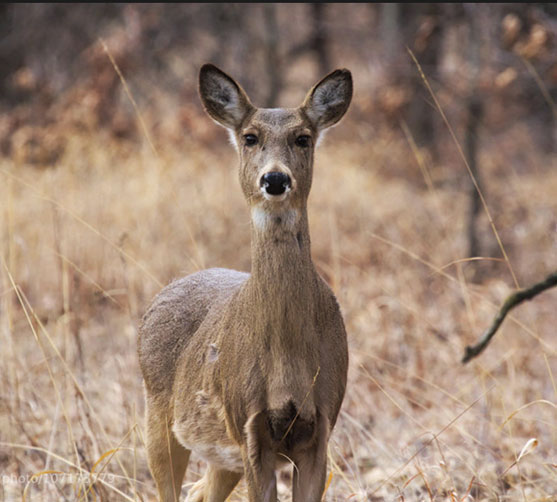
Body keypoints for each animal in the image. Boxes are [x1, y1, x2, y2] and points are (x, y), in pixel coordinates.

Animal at [137, 63, 350, 502]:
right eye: (250, 137)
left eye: (303, 138)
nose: (275, 179)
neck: (288, 359)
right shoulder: (249, 426)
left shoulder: (321, 425)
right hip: (159, 416)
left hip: (221, 455)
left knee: (200, 492)